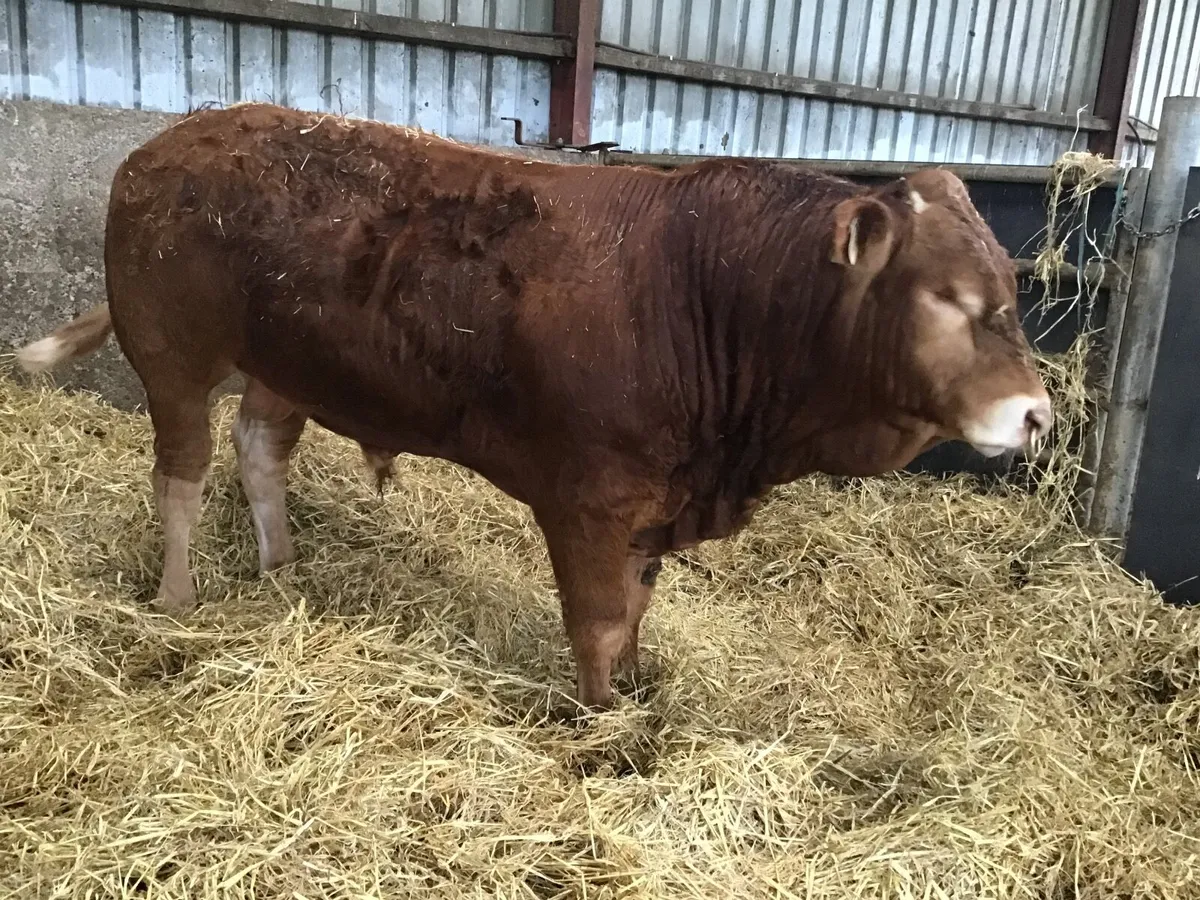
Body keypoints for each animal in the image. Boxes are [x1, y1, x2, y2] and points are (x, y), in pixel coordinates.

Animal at [16, 104, 1052, 712]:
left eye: (1010, 286)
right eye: (949, 299)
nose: (1039, 413)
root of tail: (165, 143)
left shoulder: (653, 503)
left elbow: (634, 614)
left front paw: (636, 693)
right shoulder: (589, 499)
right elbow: (595, 620)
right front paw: (602, 726)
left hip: (291, 360)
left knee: (260, 446)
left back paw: (278, 571)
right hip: (171, 351)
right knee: (181, 476)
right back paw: (178, 597)